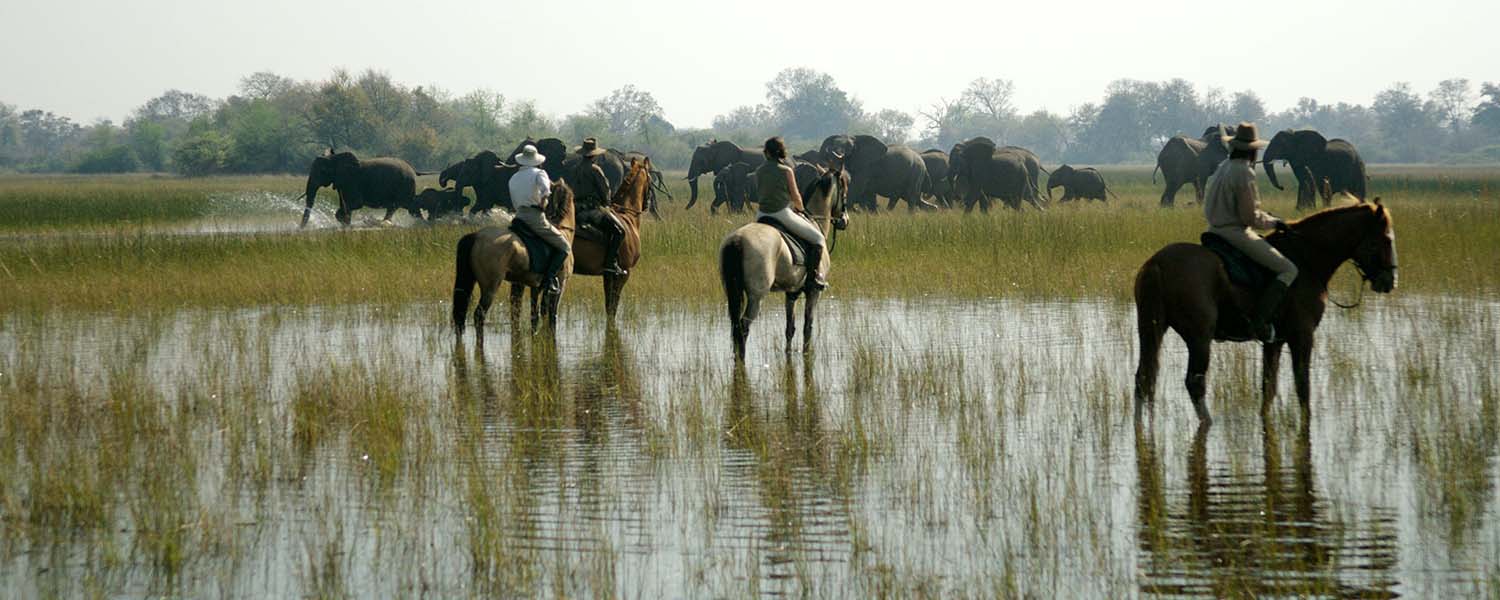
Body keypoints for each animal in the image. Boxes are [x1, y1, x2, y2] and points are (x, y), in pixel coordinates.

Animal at [451, 180, 576, 340]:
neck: (563, 230)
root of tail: (476, 236)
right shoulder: (561, 284)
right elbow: (552, 316)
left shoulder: (536, 286)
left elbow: (535, 315)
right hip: (490, 286)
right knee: (479, 315)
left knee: (460, 315)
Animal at [572, 158, 652, 320]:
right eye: (651, 178)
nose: (648, 204)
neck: (628, 217)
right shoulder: (623, 274)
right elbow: (612, 308)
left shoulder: (608, 275)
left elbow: (609, 306)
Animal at [719, 165, 849, 360]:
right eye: (845, 188)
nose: (844, 221)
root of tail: (737, 240)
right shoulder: (813, 293)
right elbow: (807, 327)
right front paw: (806, 353)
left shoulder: (791, 292)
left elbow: (790, 328)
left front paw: (789, 354)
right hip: (756, 297)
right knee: (743, 327)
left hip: (733, 291)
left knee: (735, 327)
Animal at [1133, 200, 1397, 424]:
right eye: (1385, 240)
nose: (1389, 281)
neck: (1305, 261)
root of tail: (1158, 263)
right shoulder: (1302, 336)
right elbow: (1303, 387)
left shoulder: (1274, 342)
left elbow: (1268, 388)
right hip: (1199, 338)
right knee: (1194, 383)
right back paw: (1207, 423)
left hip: (1151, 330)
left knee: (1142, 379)